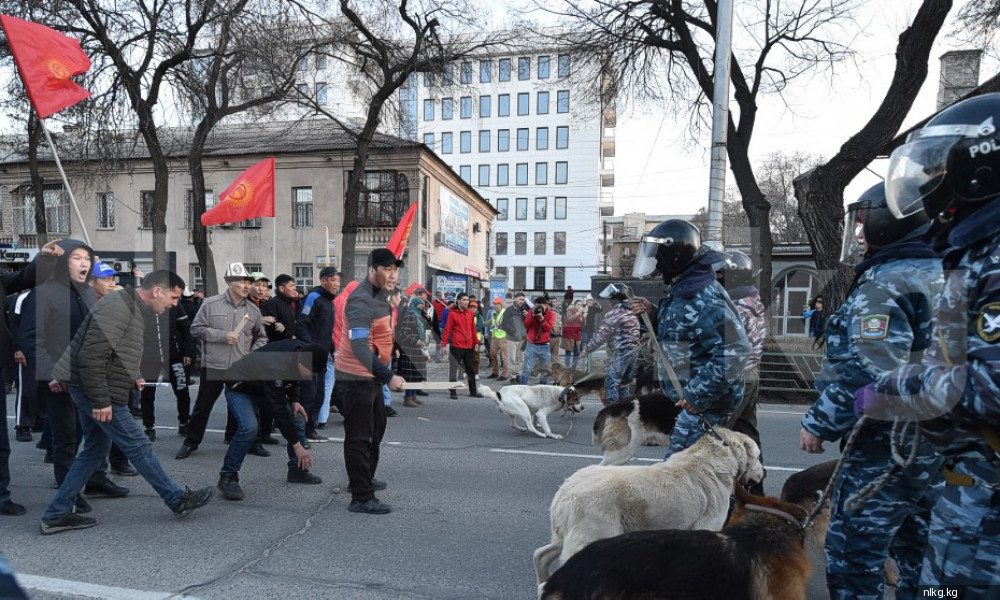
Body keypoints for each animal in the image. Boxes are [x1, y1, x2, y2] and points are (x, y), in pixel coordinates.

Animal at [536, 428, 760, 588]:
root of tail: (564, 493)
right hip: (592, 535)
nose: (763, 473)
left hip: (564, 535)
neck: (721, 452)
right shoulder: (706, 528)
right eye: (758, 456)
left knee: (540, 555)